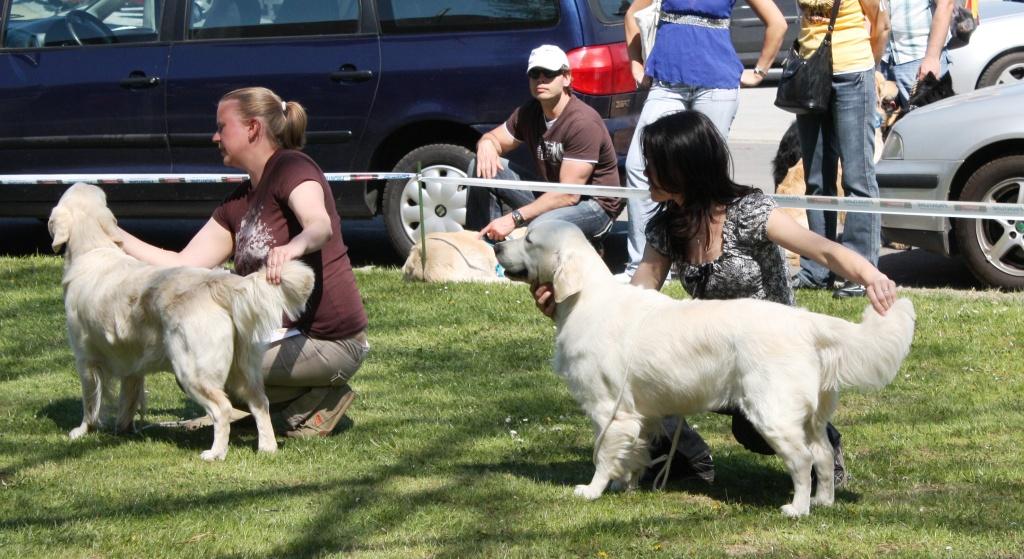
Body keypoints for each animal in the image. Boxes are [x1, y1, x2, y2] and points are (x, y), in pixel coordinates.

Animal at [49, 185, 313, 458]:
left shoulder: (85, 358)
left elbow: (90, 401)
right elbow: (127, 400)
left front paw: (82, 431)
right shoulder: (131, 364)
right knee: (260, 402)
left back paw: (215, 454)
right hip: (244, 368)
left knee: (223, 409)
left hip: (191, 369)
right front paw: (123, 430)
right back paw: (267, 447)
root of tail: (217, 284)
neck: (93, 248)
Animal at [491, 220, 917, 516]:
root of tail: (804, 321)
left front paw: (592, 490)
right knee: (824, 455)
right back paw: (823, 502)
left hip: (771, 412)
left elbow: (603, 454)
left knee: (803, 460)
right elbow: (633, 453)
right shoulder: (641, 413)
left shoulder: (607, 408)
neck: (586, 299)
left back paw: (798, 508)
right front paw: (625, 486)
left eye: (529, 240)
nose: (495, 243)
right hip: (807, 415)